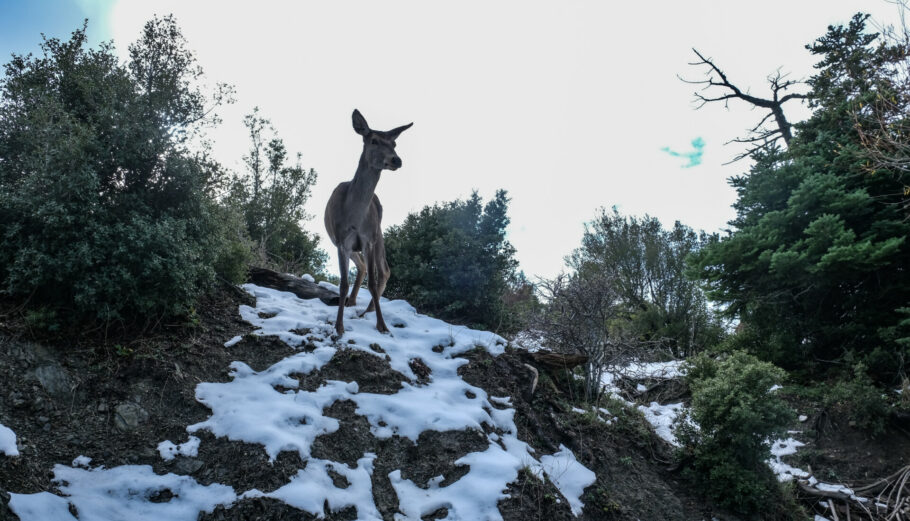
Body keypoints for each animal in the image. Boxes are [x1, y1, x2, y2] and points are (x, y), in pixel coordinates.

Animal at [324, 110, 414, 338]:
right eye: (373, 140)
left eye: (394, 143)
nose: (396, 159)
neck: (354, 217)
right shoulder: (342, 241)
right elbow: (343, 284)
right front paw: (339, 326)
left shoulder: (368, 240)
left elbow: (372, 283)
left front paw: (382, 325)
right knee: (363, 266)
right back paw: (354, 302)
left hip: (379, 233)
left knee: (383, 270)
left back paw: (368, 309)